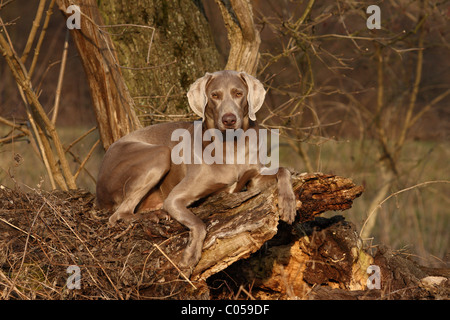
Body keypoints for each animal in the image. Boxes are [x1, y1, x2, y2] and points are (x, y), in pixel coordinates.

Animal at [96, 70, 298, 272]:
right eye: (214, 95)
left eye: (238, 93)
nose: (229, 119)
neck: (231, 145)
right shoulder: (174, 199)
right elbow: (199, 224)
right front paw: (190, 256)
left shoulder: (253, 180)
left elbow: (284, 169)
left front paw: (288, 204)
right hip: (160, 154)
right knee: (117, 215)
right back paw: (154, 215)